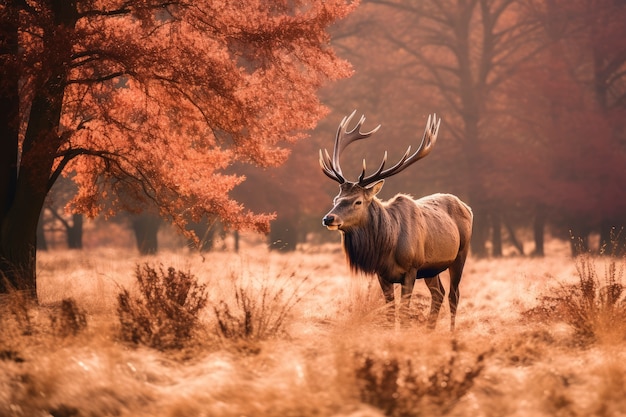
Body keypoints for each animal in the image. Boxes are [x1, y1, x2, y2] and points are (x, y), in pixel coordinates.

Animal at [320, 112, 470, 330]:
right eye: (336, 199)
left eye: (357, 201)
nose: (328, 218)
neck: (388, 247)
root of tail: (467, 207)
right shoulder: (382, 275)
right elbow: (390, 314)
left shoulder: (411, 269)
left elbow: (404, 314)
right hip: (431, 269)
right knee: (438, 294)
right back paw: (429, 331)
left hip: (460, 254)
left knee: (454, 295)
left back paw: (451, 332)